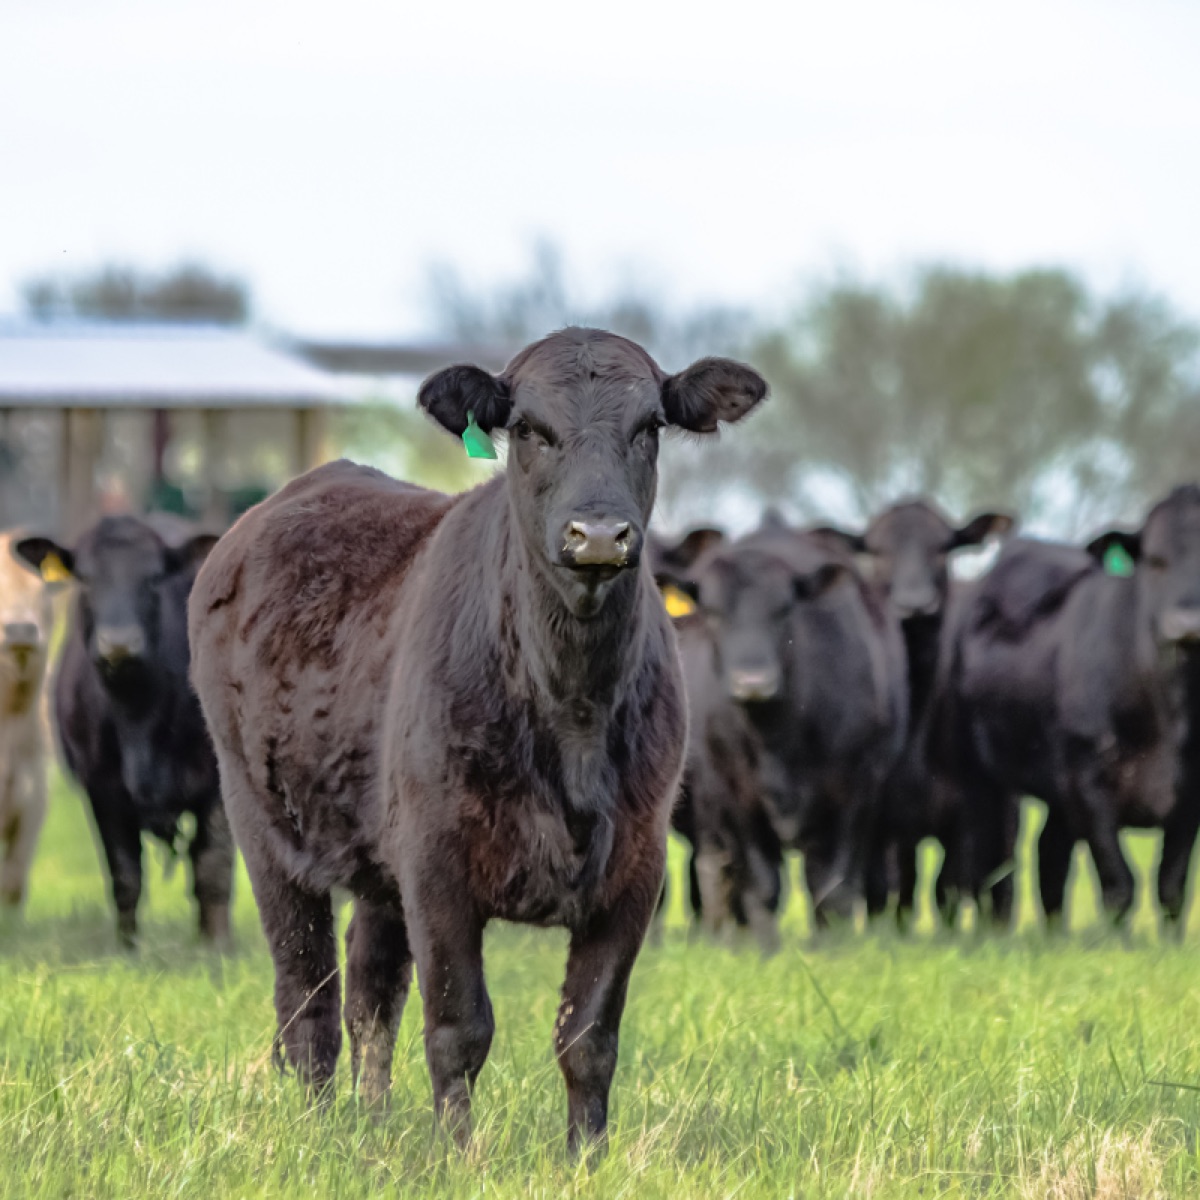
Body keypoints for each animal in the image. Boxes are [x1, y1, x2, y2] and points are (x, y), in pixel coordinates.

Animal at [15, 515, 229, 948]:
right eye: (85, 579)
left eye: (153, 578)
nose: (118, 644)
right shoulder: (102, 788)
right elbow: (126, 874)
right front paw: (128, 947)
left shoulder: (217, 785)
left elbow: (213, 868)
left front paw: (216, 947)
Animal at [187, 327, 768, 1153]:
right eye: (527, 428)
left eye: (650, 426)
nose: (597, 535)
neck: (570, 708)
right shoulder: (438, 866)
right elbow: (459, 1028)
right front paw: (458, 1154)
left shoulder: (635, 870)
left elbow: (588, 1037)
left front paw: (586, 1158)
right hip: (263, 829)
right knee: (307, 1001)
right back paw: (320, 1129)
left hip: (377, 861)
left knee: (370, 995)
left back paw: (372, 1125)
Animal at [675, 517, 907, 927]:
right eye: (713, 612)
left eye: (783, 609)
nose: (752, 682)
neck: (774, 740)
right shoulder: (735, 800)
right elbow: (761, 886)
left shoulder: (852, 797)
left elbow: (833, 891)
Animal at [815, 500, 1014, 928]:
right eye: (878, 552)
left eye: (942, 548)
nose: (914, 604)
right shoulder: (877, 821)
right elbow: (881, 890)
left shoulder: (967, 813)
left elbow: (951, 886)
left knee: (997, 881)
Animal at [950, 484, 1200, 933]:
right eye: (1156, 560)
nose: (1187, 626)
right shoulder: (1089, 786)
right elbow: (1120, 884)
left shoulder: (1189, 798)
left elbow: (1171, 888)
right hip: (981, 776)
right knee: (989, 862)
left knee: (1049, 856)